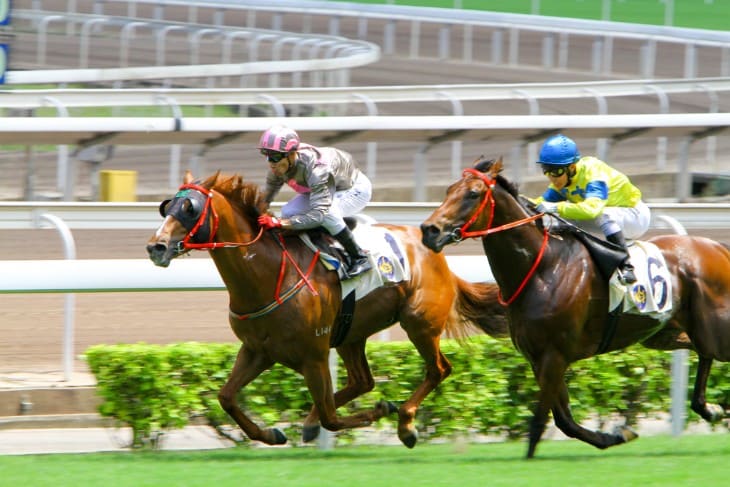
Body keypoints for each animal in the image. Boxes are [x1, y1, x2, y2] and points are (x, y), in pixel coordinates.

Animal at [146, 170, 508, 448]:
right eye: (167, 207)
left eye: (190, 208)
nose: (156, 247)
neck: (268, 275)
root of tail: (436, 251)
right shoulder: (257, 350)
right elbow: (226, 397)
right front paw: (272, 434)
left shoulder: (314, 355)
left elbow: (331, 417)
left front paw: (380, 411)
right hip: (352, 333)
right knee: (363, 381)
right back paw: (314, 422)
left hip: (419, 323)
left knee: (438, 369)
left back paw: (406, 424)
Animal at [420, 156, 730, 458]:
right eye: (448, 190)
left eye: (473, 194)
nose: (429, 231)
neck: (542, 267)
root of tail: (718, 248)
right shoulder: (538, 358)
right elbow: (564, 419)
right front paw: (617, 435)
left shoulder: (555, 355)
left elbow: (543, 419)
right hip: (667, 333)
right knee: (702, 352)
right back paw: (708, 408)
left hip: (712, 328)